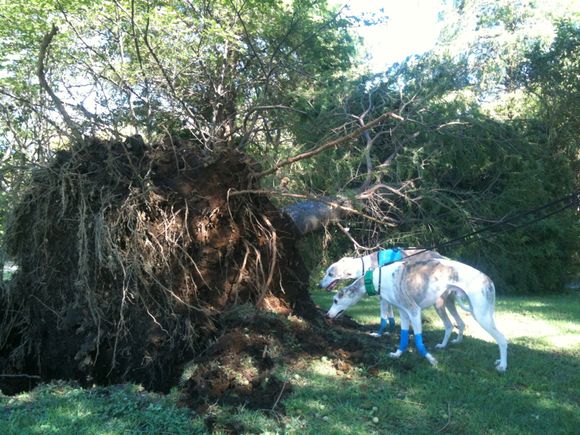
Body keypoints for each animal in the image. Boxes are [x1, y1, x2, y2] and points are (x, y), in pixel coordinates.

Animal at [320, 249, 464, 348]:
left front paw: (379, 334)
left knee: (450, 325)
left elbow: (384, 319)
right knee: (461, 323)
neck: (367, 265)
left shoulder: (383, 300)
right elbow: (391, 319)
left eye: (330, 274)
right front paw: (391, 332)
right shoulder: (388, 299)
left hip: (438, 303)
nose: (319, 285)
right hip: (449, 302)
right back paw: (457, 341)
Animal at [326, 258, 508, 372]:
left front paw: (430, 359)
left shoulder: (414, 311)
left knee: (502, 339)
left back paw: (503, 366)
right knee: (452, 326)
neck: (378, 279)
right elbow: (404, 336)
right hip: (456, 306)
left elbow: (419, 340)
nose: (327, 315)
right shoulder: (403, 312)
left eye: (335, 300)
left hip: (480, 315)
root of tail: (489, 280)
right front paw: (397, 354)